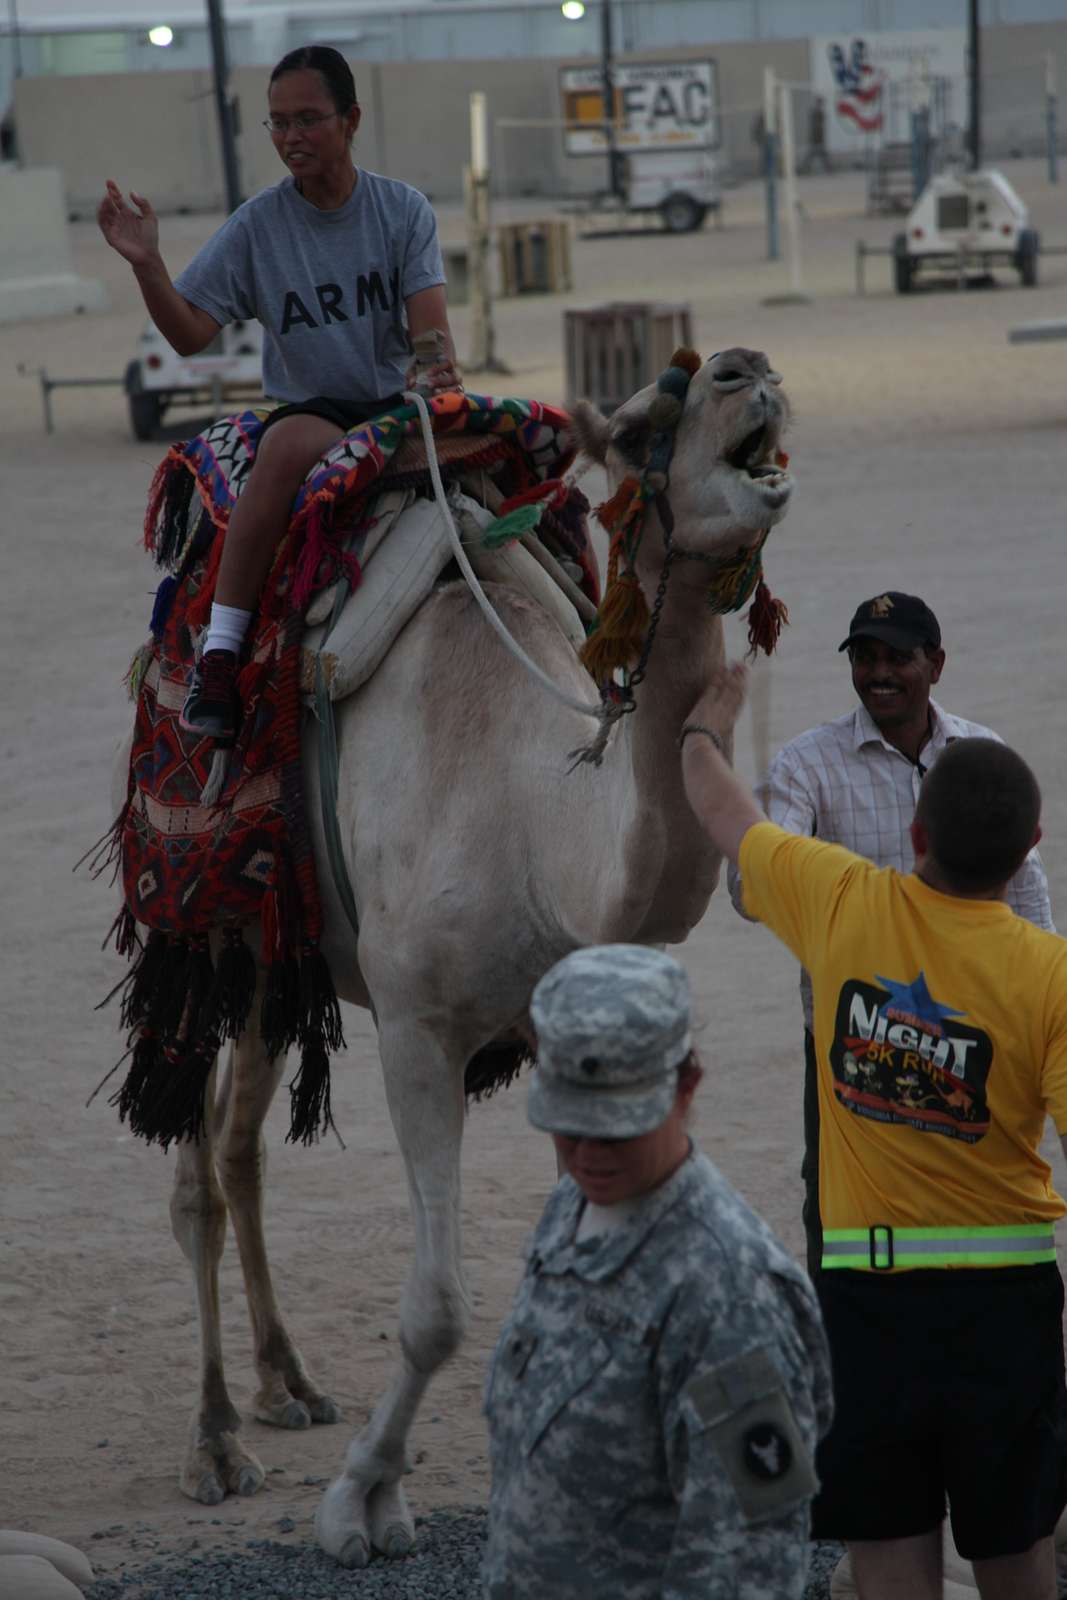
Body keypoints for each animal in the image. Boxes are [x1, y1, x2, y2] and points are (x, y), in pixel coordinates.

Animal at [112, 347, 793, 1561]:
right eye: (637, 429)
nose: (743, 369)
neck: (530, 818)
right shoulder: (419, 1030)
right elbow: (437, 1304)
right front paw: (362, 1501)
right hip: (198, 928)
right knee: (193, 1168)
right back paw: (216, 1440)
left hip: (279, 961)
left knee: (239, 1144)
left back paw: (287, 1383)